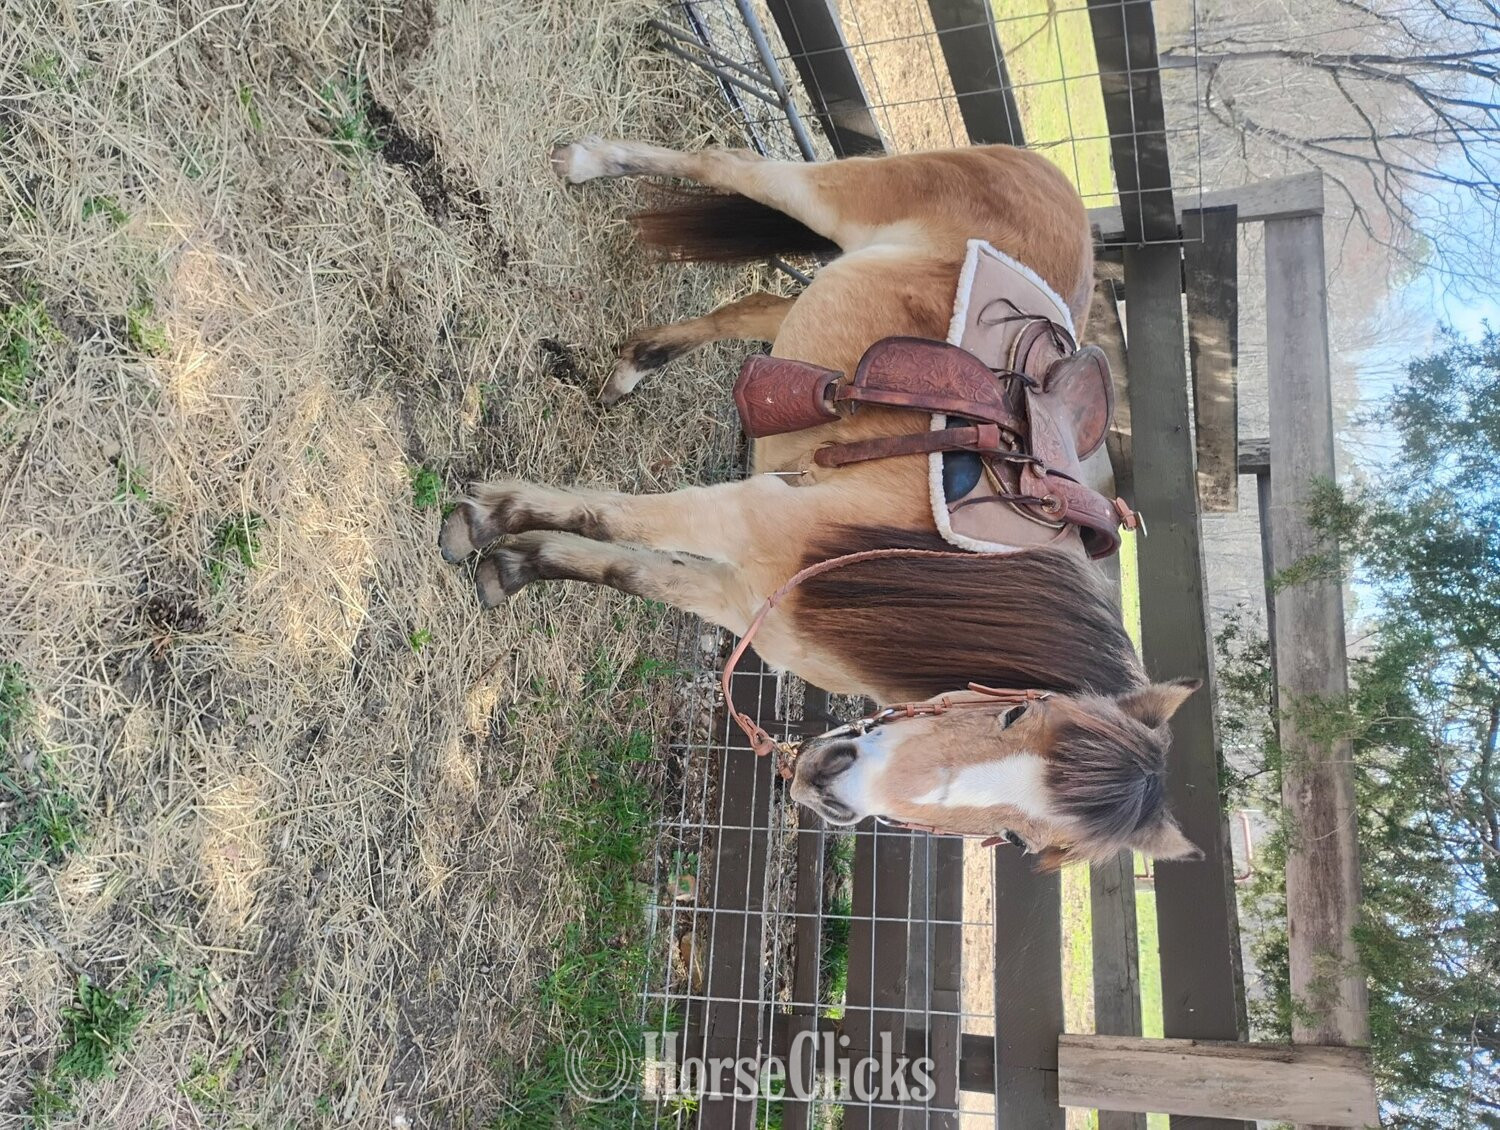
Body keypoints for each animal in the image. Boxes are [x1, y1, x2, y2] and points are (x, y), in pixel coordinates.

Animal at [438, 137, 1202, 869]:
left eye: (1016, 841)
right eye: (1015, 715)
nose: (832, 785)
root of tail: (1059, 185)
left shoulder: (741, 599)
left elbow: (626, 569)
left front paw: (517, 563)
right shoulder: (745, 517)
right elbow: (615, 518)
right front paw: (484, 520)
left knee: (757, 308)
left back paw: (636, 364)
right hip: (829, 198)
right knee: (726, 164)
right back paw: (587, 163)